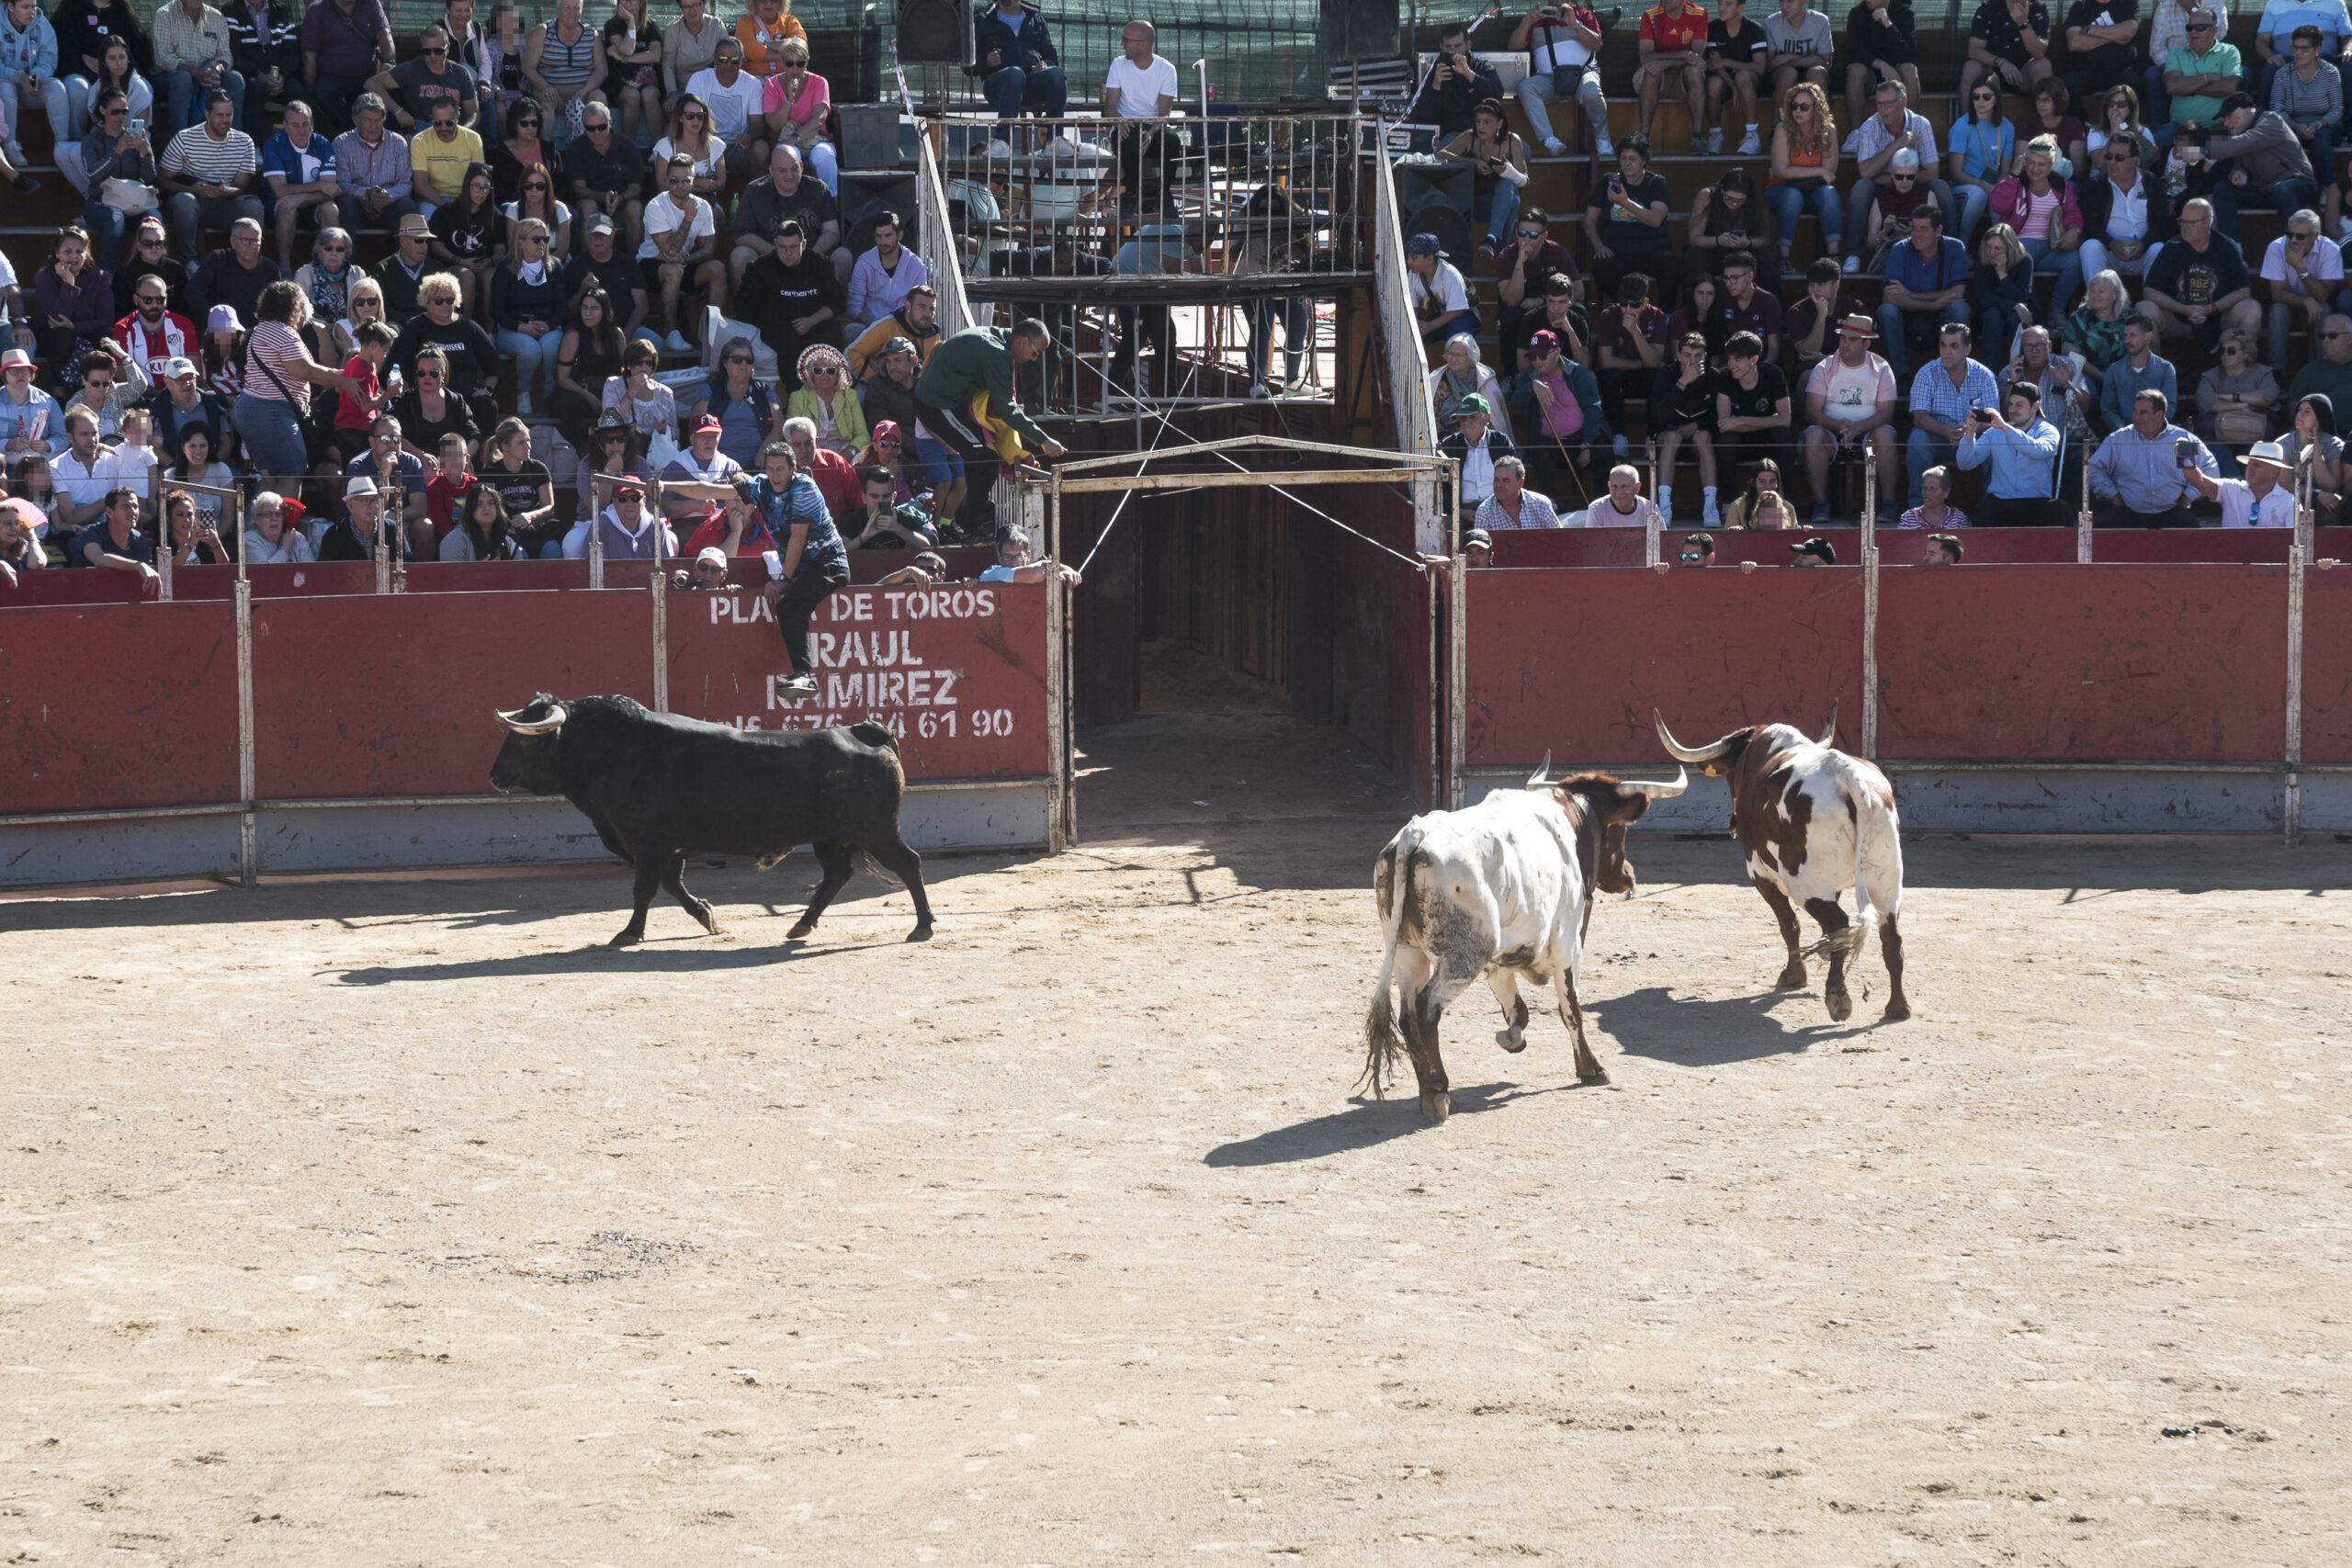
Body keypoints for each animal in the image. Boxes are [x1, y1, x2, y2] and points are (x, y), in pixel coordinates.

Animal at [489, 695, 935, 944]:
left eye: (522, 741)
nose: (493, 777)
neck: (615, 752)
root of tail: (864, 730)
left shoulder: (649, 844)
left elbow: (644, 890)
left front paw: (629, 933)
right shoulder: (665, 848)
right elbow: (671, 886)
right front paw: (707, 917)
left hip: (876, 831)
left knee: (908, 864)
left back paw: (922, 927)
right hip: (830, 837)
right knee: (837, 875)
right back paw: (801, 926)